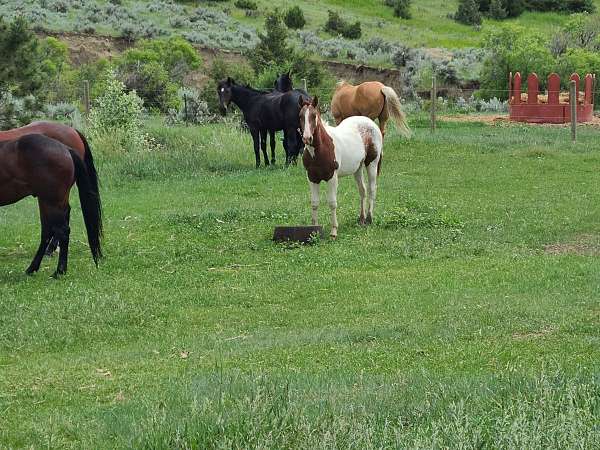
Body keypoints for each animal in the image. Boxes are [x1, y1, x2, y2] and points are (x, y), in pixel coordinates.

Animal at [0, 133, 102, 278]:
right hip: (47, 201)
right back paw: (32, 268)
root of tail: (66, 149)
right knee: (47, 232)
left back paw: (59, 271)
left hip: (52, 202)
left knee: (62, 231)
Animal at [300, 96, 384, 239]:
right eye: (300, 116)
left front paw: (334, 232)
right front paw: (314, 231)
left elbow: (332, 203)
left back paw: (369, 219)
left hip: (372, 164)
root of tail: (371, 123)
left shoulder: (332, 178)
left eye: (314, 115)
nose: (307, 138)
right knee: (362, 190)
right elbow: (314, 203)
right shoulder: (312, 178)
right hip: (358, 168)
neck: (322, 148)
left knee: (372, 189)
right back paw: (361, 219)